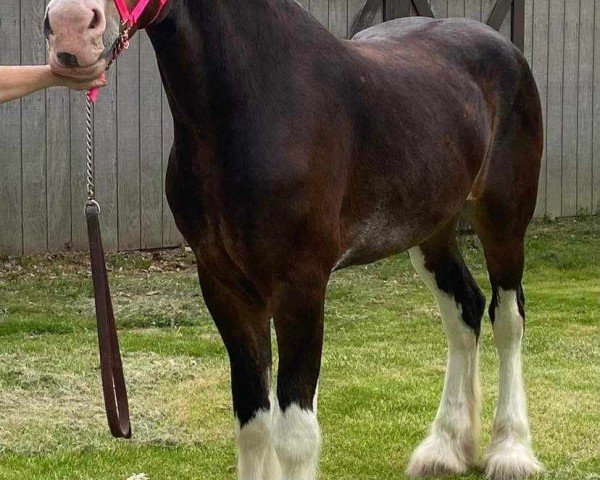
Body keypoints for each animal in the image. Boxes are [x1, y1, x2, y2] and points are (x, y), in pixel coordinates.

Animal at [45, 1, 544, 478]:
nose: (70, 28)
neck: (259, 102)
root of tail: (502, 46)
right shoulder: (225, 288)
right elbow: (252, 423)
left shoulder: (300, 287)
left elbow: (295, 434)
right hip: (431, 230)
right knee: (464, 312)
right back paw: (444, 449)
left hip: (504, 219)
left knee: (507, 318)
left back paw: (511, 452)